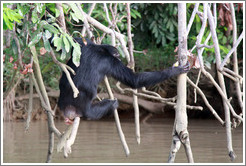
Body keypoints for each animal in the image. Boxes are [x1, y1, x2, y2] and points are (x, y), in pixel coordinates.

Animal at [58, 37, 190, 123]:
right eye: (117, 56)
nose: (120, 59)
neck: (101, 50)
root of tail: (68, 109)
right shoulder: (112, 63)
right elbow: (134, 80)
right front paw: (174, 70)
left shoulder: (83, 45)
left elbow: (69, 41)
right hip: (85, 110)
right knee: (99, 110)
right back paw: (112, 104)